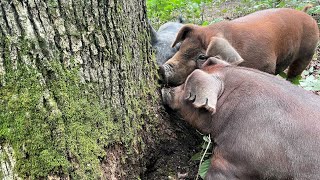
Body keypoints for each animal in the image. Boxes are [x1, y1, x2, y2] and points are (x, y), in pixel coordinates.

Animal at [160, 7, 320, 85]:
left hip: (307, 53)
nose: (162, 68)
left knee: (295, 72)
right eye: (181, 47)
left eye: (202, 56)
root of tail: (308, 16)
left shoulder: (267, 66)